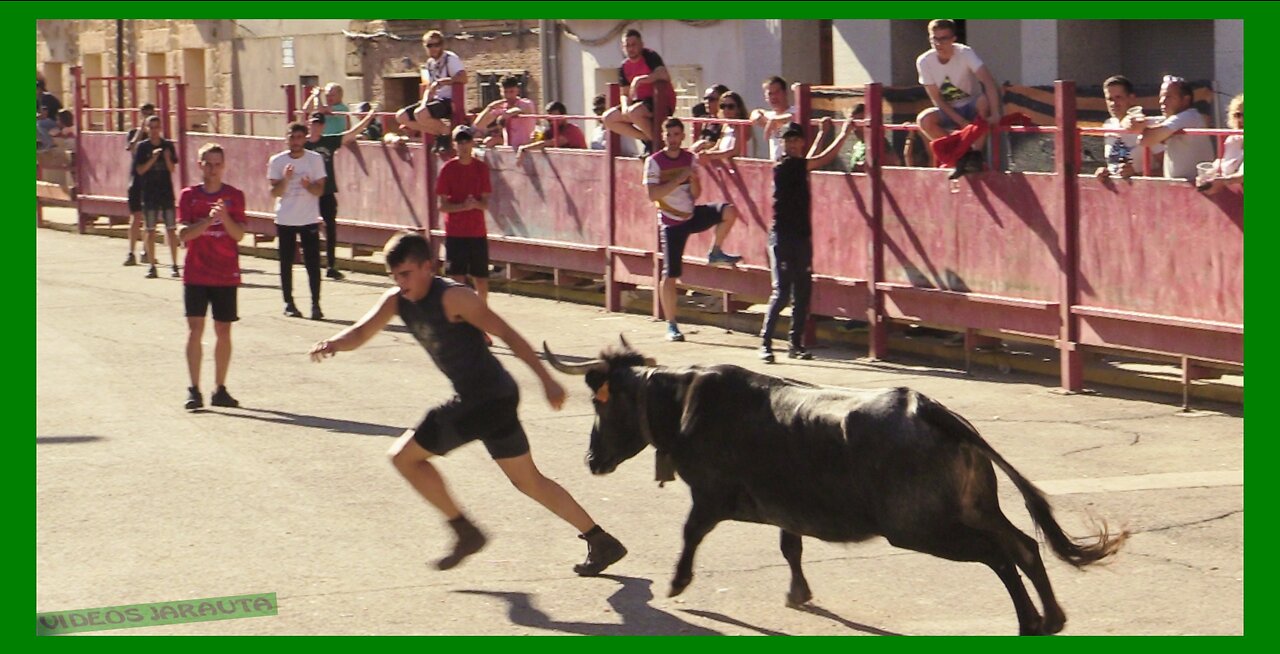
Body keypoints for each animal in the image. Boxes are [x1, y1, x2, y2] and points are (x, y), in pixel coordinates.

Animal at [545, 342, 1126, 634]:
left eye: (600, 404)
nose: (592, 459)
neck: (684, 402)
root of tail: (932, 410)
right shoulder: (786, 507)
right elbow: (790, 546)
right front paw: (798, 594)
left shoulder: (710, 497)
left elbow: (691, 533)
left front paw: (677, 584)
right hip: (974, 509)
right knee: (1023, 546)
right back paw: (1052, 618)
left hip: (923, 529)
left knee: (1000, 556)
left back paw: (1030, 623)